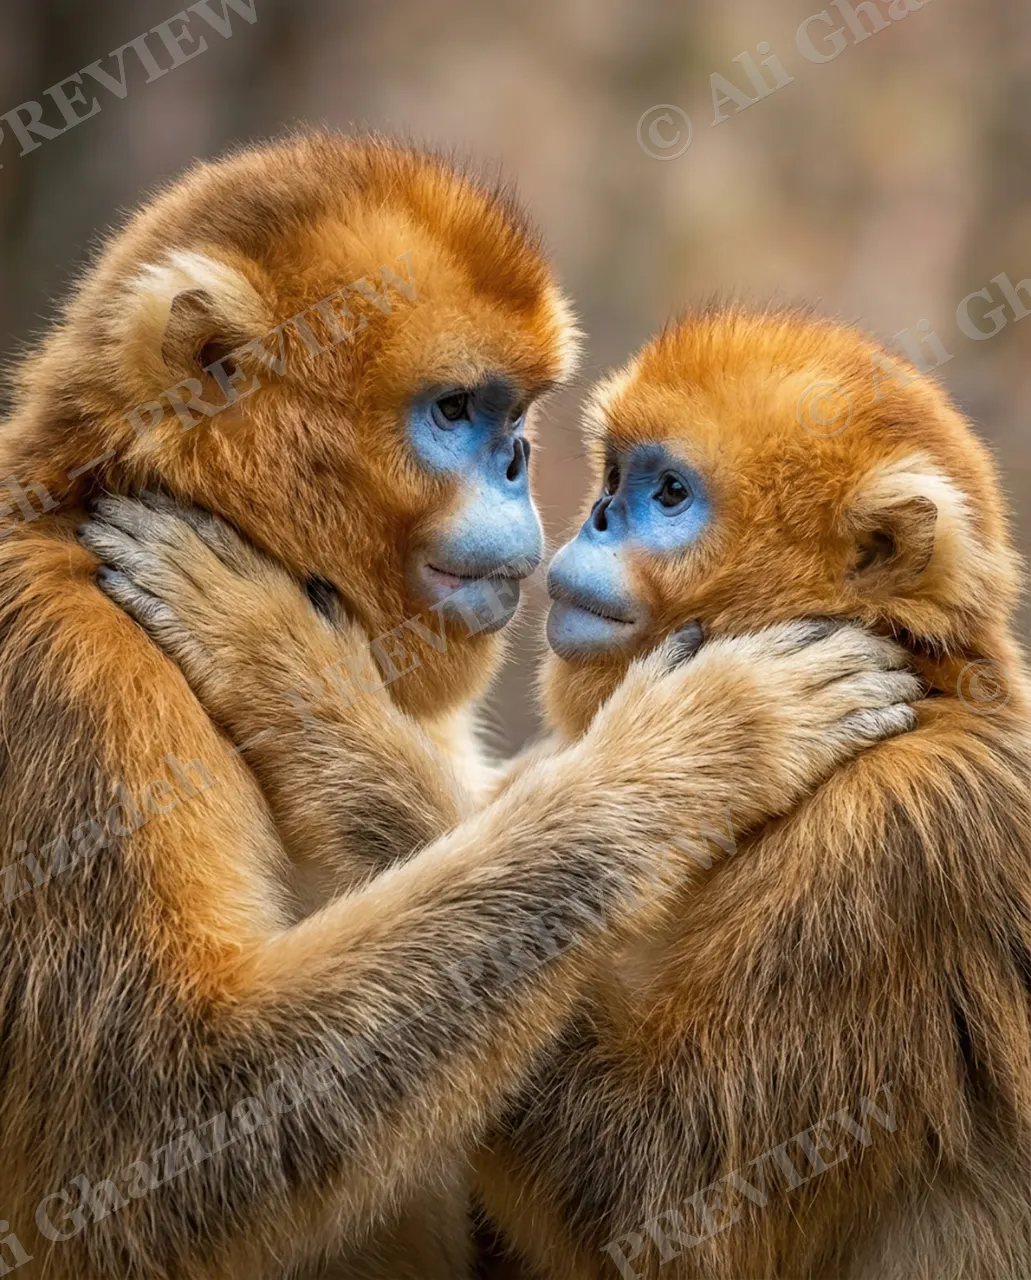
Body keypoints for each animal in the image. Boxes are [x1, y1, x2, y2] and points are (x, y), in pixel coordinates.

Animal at [21, 133, 921, 1279]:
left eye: (513, 414)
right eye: (455, 410)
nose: (519, 460)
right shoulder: (72, 657)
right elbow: (160, 1137)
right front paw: (716, 734)